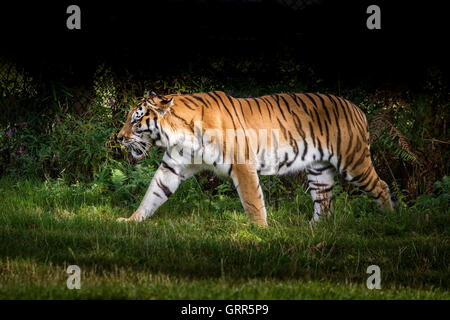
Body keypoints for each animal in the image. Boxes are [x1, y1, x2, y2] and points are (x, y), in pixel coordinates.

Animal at [116, 89, 394, 225]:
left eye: (136, 120)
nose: (119, 137)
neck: (178, 134)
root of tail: (358, 109)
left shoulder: (242, 165)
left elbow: (252, 202)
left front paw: (259, 232)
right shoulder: (172, 167)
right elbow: (153, 193)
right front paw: (131, 220)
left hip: (353, 161)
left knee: (381, 186)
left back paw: (391, 221)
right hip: (319, 170)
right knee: (324, 202)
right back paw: (314, 228)